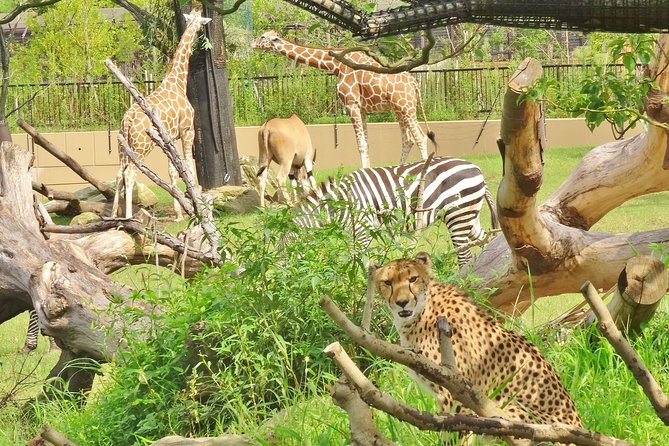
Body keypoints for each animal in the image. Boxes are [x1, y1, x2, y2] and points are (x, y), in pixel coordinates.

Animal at [111, 9, 211, 220]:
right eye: (200, 23)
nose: (201, 33)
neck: (178, 82)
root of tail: (128, 120)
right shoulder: (187, 130)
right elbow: (188, 166)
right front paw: (194, 204)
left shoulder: (170, 138)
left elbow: (172, 170)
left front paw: (180, 212)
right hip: (141, 146)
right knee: (130, 174)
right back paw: (129, 217)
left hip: (122, 146)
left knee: (118, 174)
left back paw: (114, 214)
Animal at [252, 30, 434, 169]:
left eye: (263, 36)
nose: (252, 43)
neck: (336, 65)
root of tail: (415, 83)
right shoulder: (361, 108)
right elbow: (366, 143)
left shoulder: (351, 104)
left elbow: (360, 144)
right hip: (400, 109)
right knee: (408, 140)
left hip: (406, 107)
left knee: (420, 137)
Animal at [290, 157, 496, 264]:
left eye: (287, 250)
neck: (342, 202)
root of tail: (477, 169)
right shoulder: (352, 232)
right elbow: (353, 258)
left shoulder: (363, 228)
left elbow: (360, 260)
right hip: (470, 215)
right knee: (486, 242)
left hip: (458, 214)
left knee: (465, 256)